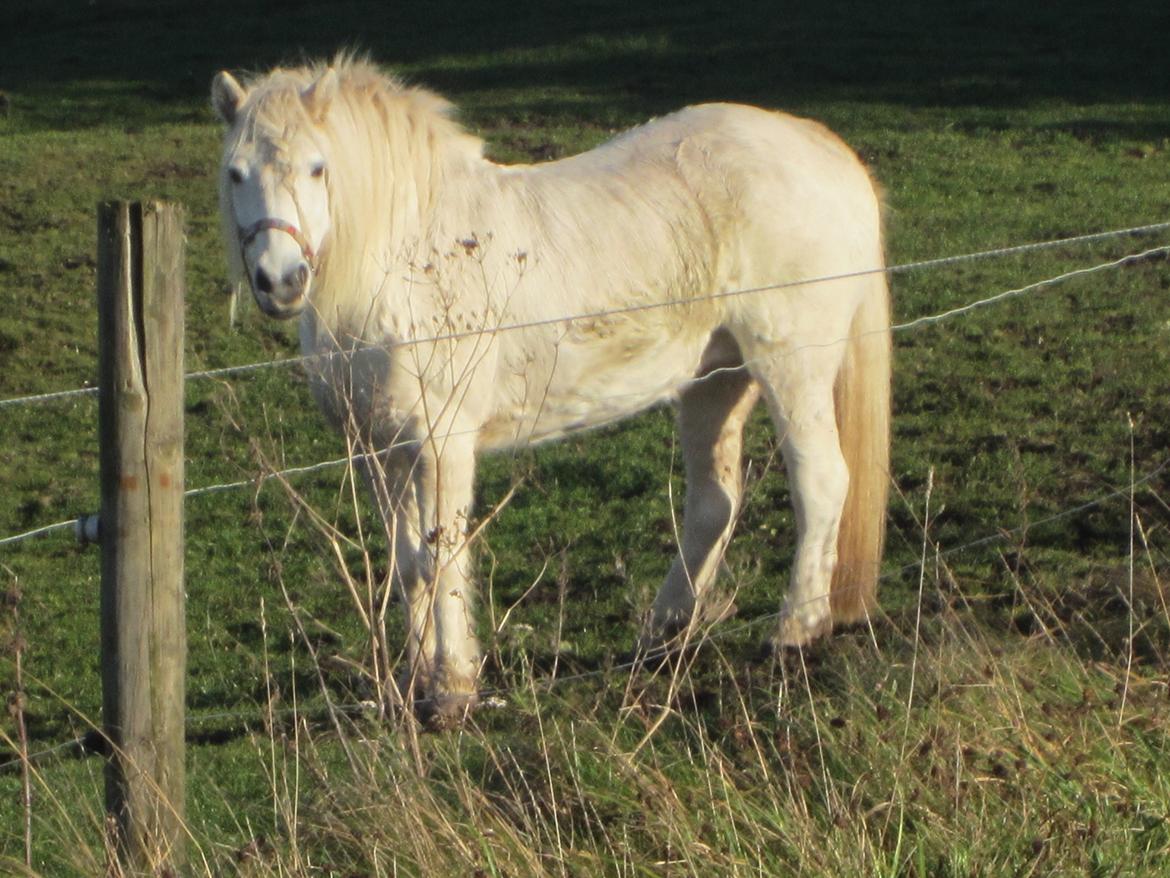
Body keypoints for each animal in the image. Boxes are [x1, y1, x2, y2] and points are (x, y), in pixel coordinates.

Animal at [212, 56, 884, 721]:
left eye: (318, 167)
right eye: (236, 173)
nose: (280, 280)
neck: (409, 260)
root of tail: (820, 147)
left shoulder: (441, 445)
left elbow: (443, 556)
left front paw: (453, 691)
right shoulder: (381, 450)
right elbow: (408, 567)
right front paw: (411, 687)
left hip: (791, 366)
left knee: (821, 481)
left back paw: (795, 629)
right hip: (715, 380)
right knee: (713, 504)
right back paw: (661, 635)